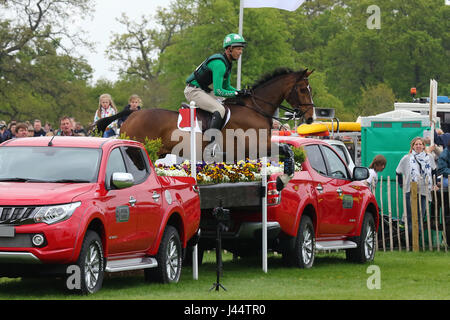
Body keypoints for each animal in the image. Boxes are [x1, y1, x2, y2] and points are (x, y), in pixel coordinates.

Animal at [98, 68, 314, 162]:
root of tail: (132, 116)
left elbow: (286, 149)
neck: (255, 108)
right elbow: (285, 149)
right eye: (303, 89)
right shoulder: (254, 145)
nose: (311, 117)